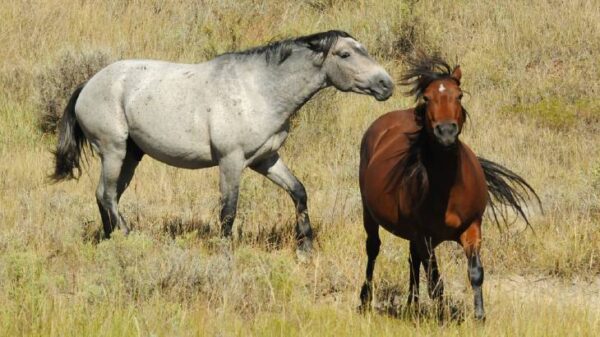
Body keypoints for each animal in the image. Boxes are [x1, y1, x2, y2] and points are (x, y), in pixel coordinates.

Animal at [51, 30, 394, 252]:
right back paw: (128, 237)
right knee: (107, 194)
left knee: (105, 196)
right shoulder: (231, 161)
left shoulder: (266, 160)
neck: (259, 91)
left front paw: (305, 247)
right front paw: (224, 253)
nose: (386, 84)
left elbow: (298, 192)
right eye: (345, 54)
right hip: (114, 150)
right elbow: (228, 210)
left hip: (132, 156)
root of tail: (87, 84)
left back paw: (111, 240)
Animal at [358, 55, 540, 320]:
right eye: (427, 97)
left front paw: (479, 317)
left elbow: (475, 273)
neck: (448, 190)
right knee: (373, 250)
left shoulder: (472, 228)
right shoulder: (425, 237)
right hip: (370, 215)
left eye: (459, 95)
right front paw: (442, 317)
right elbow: (436, 282)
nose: (446, 132)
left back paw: (412, 305)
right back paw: (365, 301)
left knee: (412, 261)